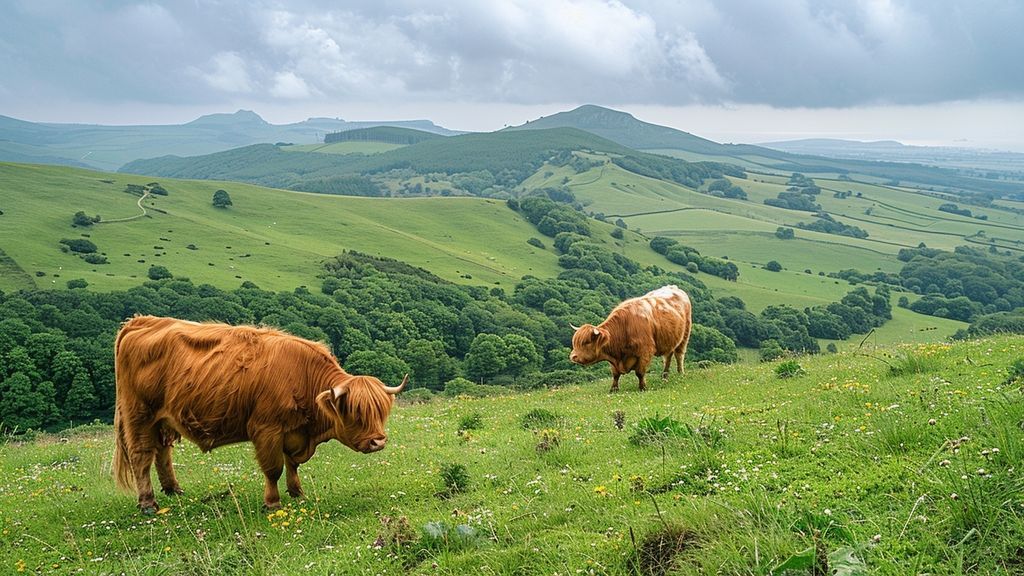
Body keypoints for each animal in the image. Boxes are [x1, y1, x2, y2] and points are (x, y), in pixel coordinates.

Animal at [110, 313, 401, 510]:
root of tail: (143, 321)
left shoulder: (294, 432)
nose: (378, 442)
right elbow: (273, 468)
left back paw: (173, 490)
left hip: (162, 419)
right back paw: (148, 503)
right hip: (139, 415)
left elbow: (292, 464)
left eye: (380, 412)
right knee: (141, 456)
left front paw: (297, 492)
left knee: (162, 453)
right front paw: (272, 502)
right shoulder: (266, 429)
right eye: (355, 412)